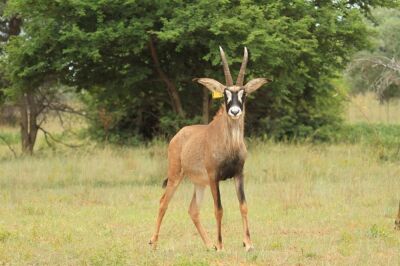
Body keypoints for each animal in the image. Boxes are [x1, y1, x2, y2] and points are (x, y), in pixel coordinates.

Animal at [148, 46, 270, 251]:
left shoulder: (238, 174)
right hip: (176, 175)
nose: (235, 111)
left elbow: (243, 205)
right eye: (226, 94)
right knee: (163, 202)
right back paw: (154, 243)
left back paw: (208, 244)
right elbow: (218, 209)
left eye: (243, 94)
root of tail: (178, 135)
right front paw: (221, 246)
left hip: (199, 183)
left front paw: (248, 244)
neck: (230, 145)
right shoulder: (214, 177)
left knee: (193, 210)